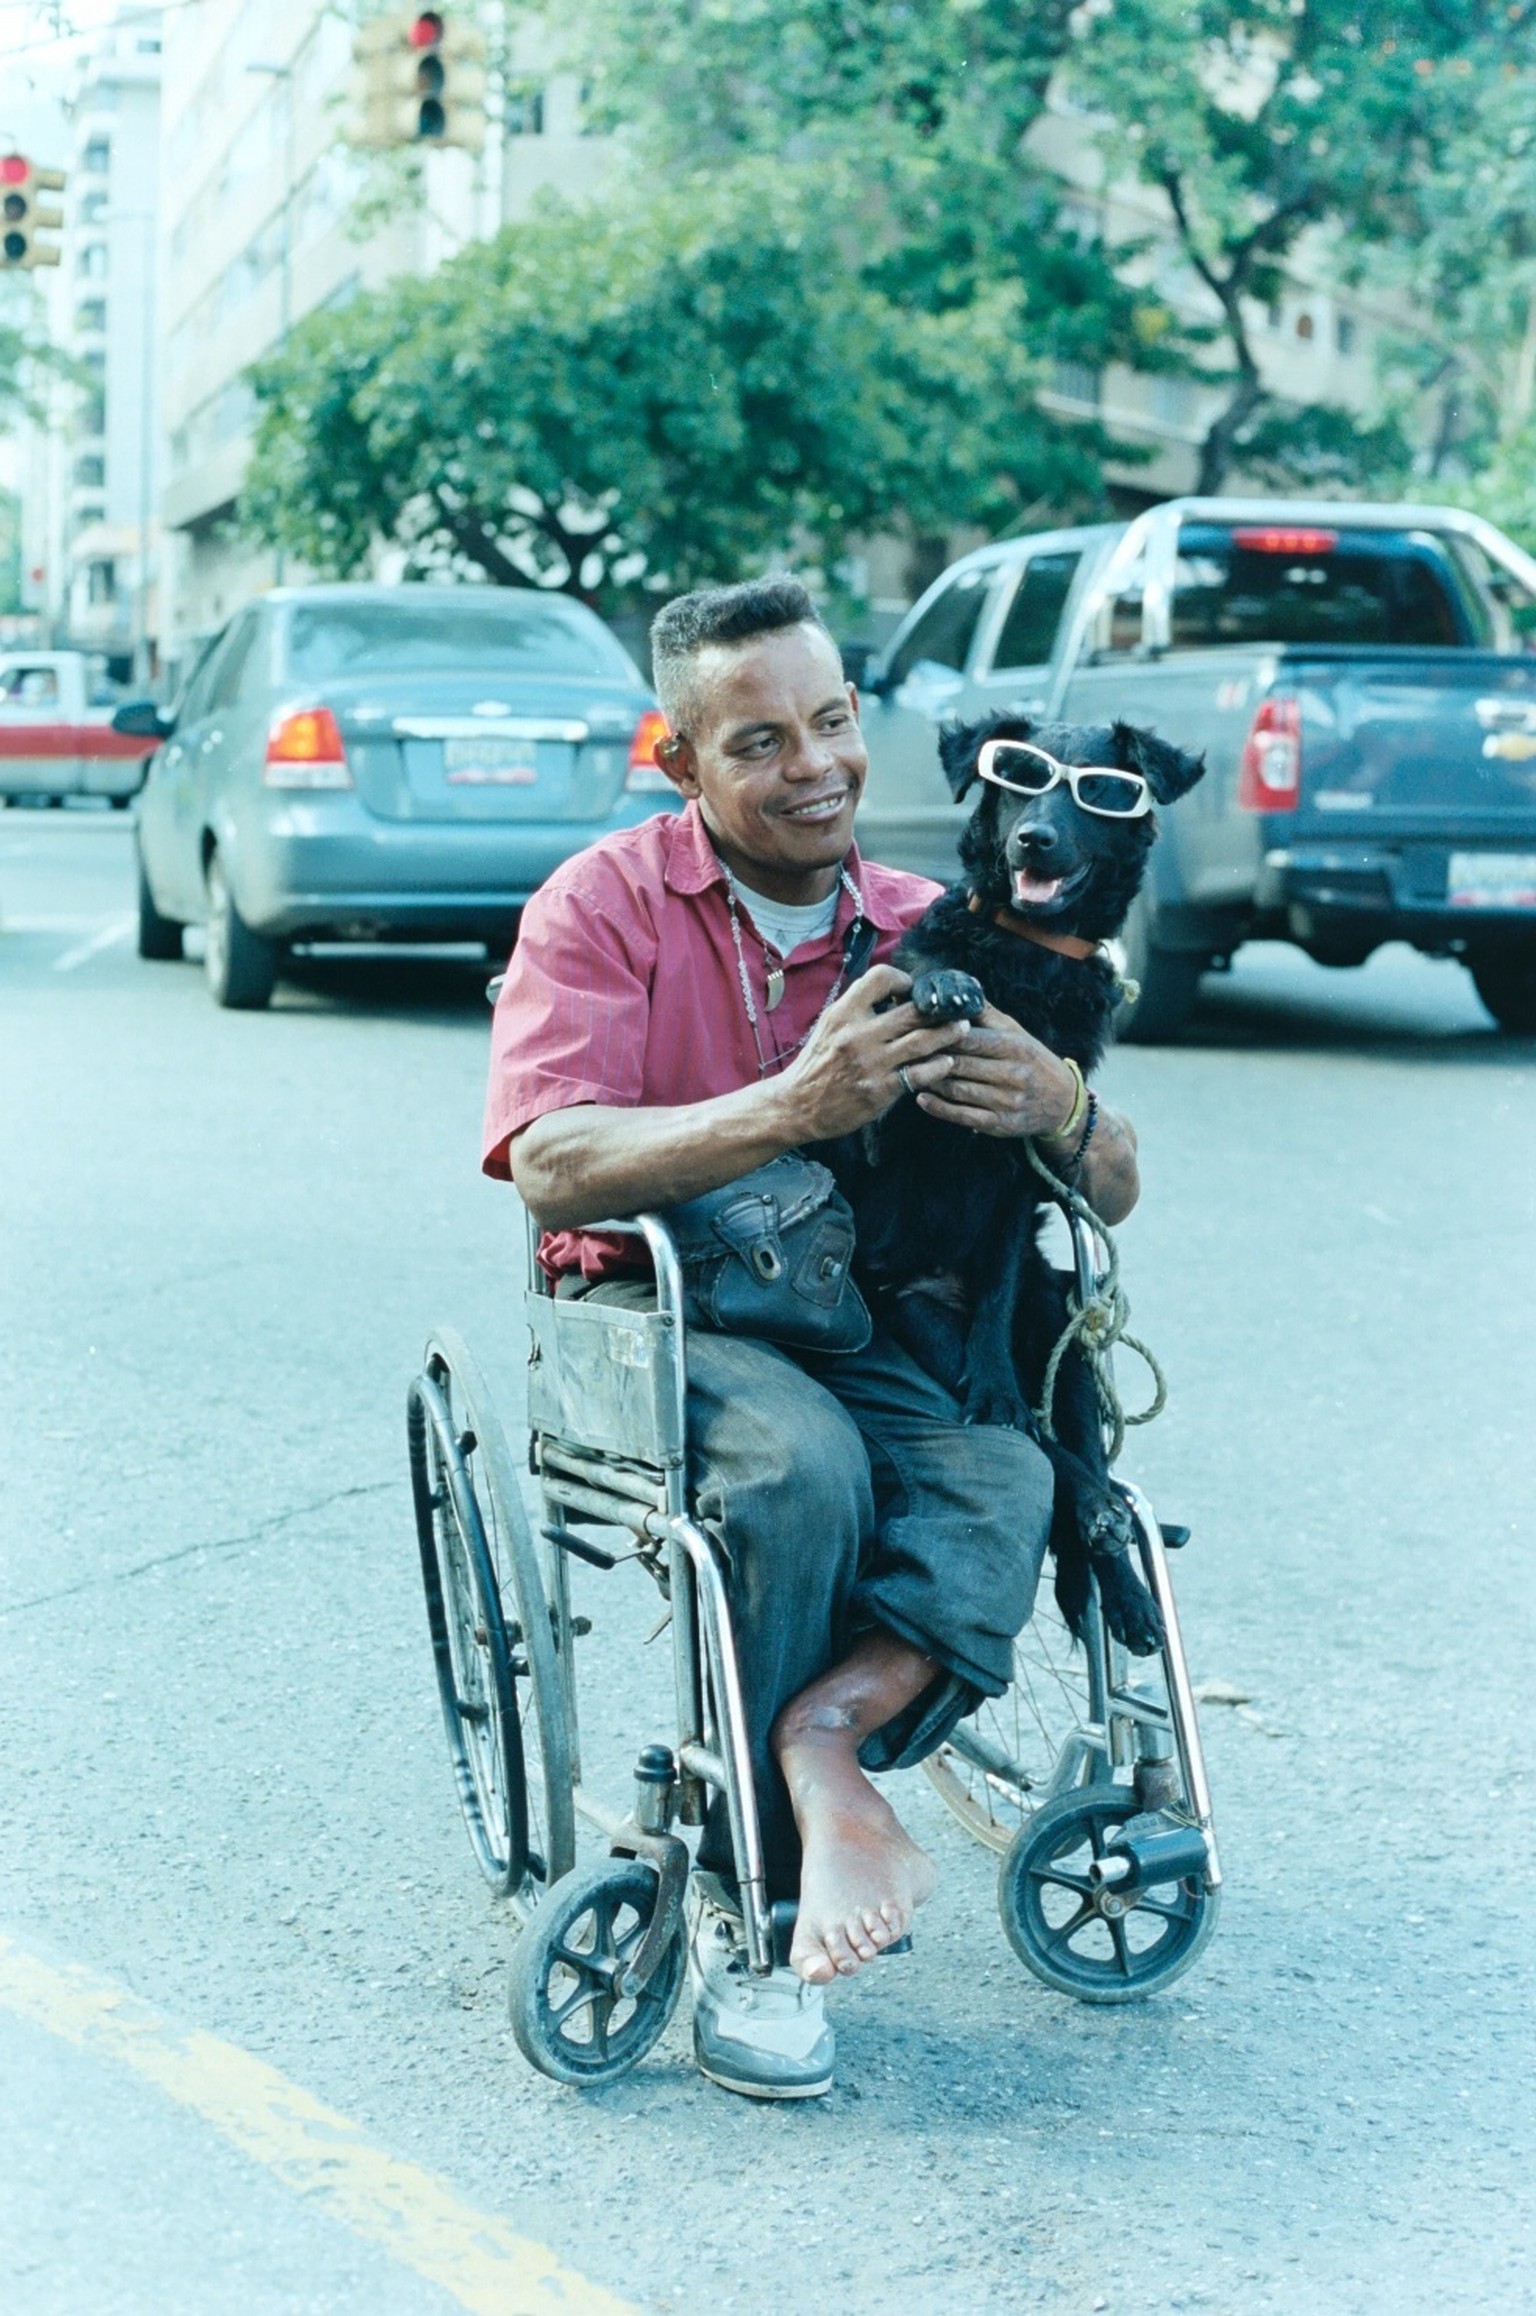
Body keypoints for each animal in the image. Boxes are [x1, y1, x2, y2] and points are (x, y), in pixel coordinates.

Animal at [829, 713, 1204, 1658]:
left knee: (1069, 1449)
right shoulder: (874, 1129)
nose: (1035, 836)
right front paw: (944, 986)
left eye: (1098, 792)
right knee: (1054, 1458)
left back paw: (1122, 1580)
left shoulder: (1018, 1174)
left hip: (1067, 1329)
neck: (1028, 958)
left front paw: (996, 1389)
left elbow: (996, 1302)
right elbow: (918, 987)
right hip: (921, 1321)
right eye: (1020, 780)